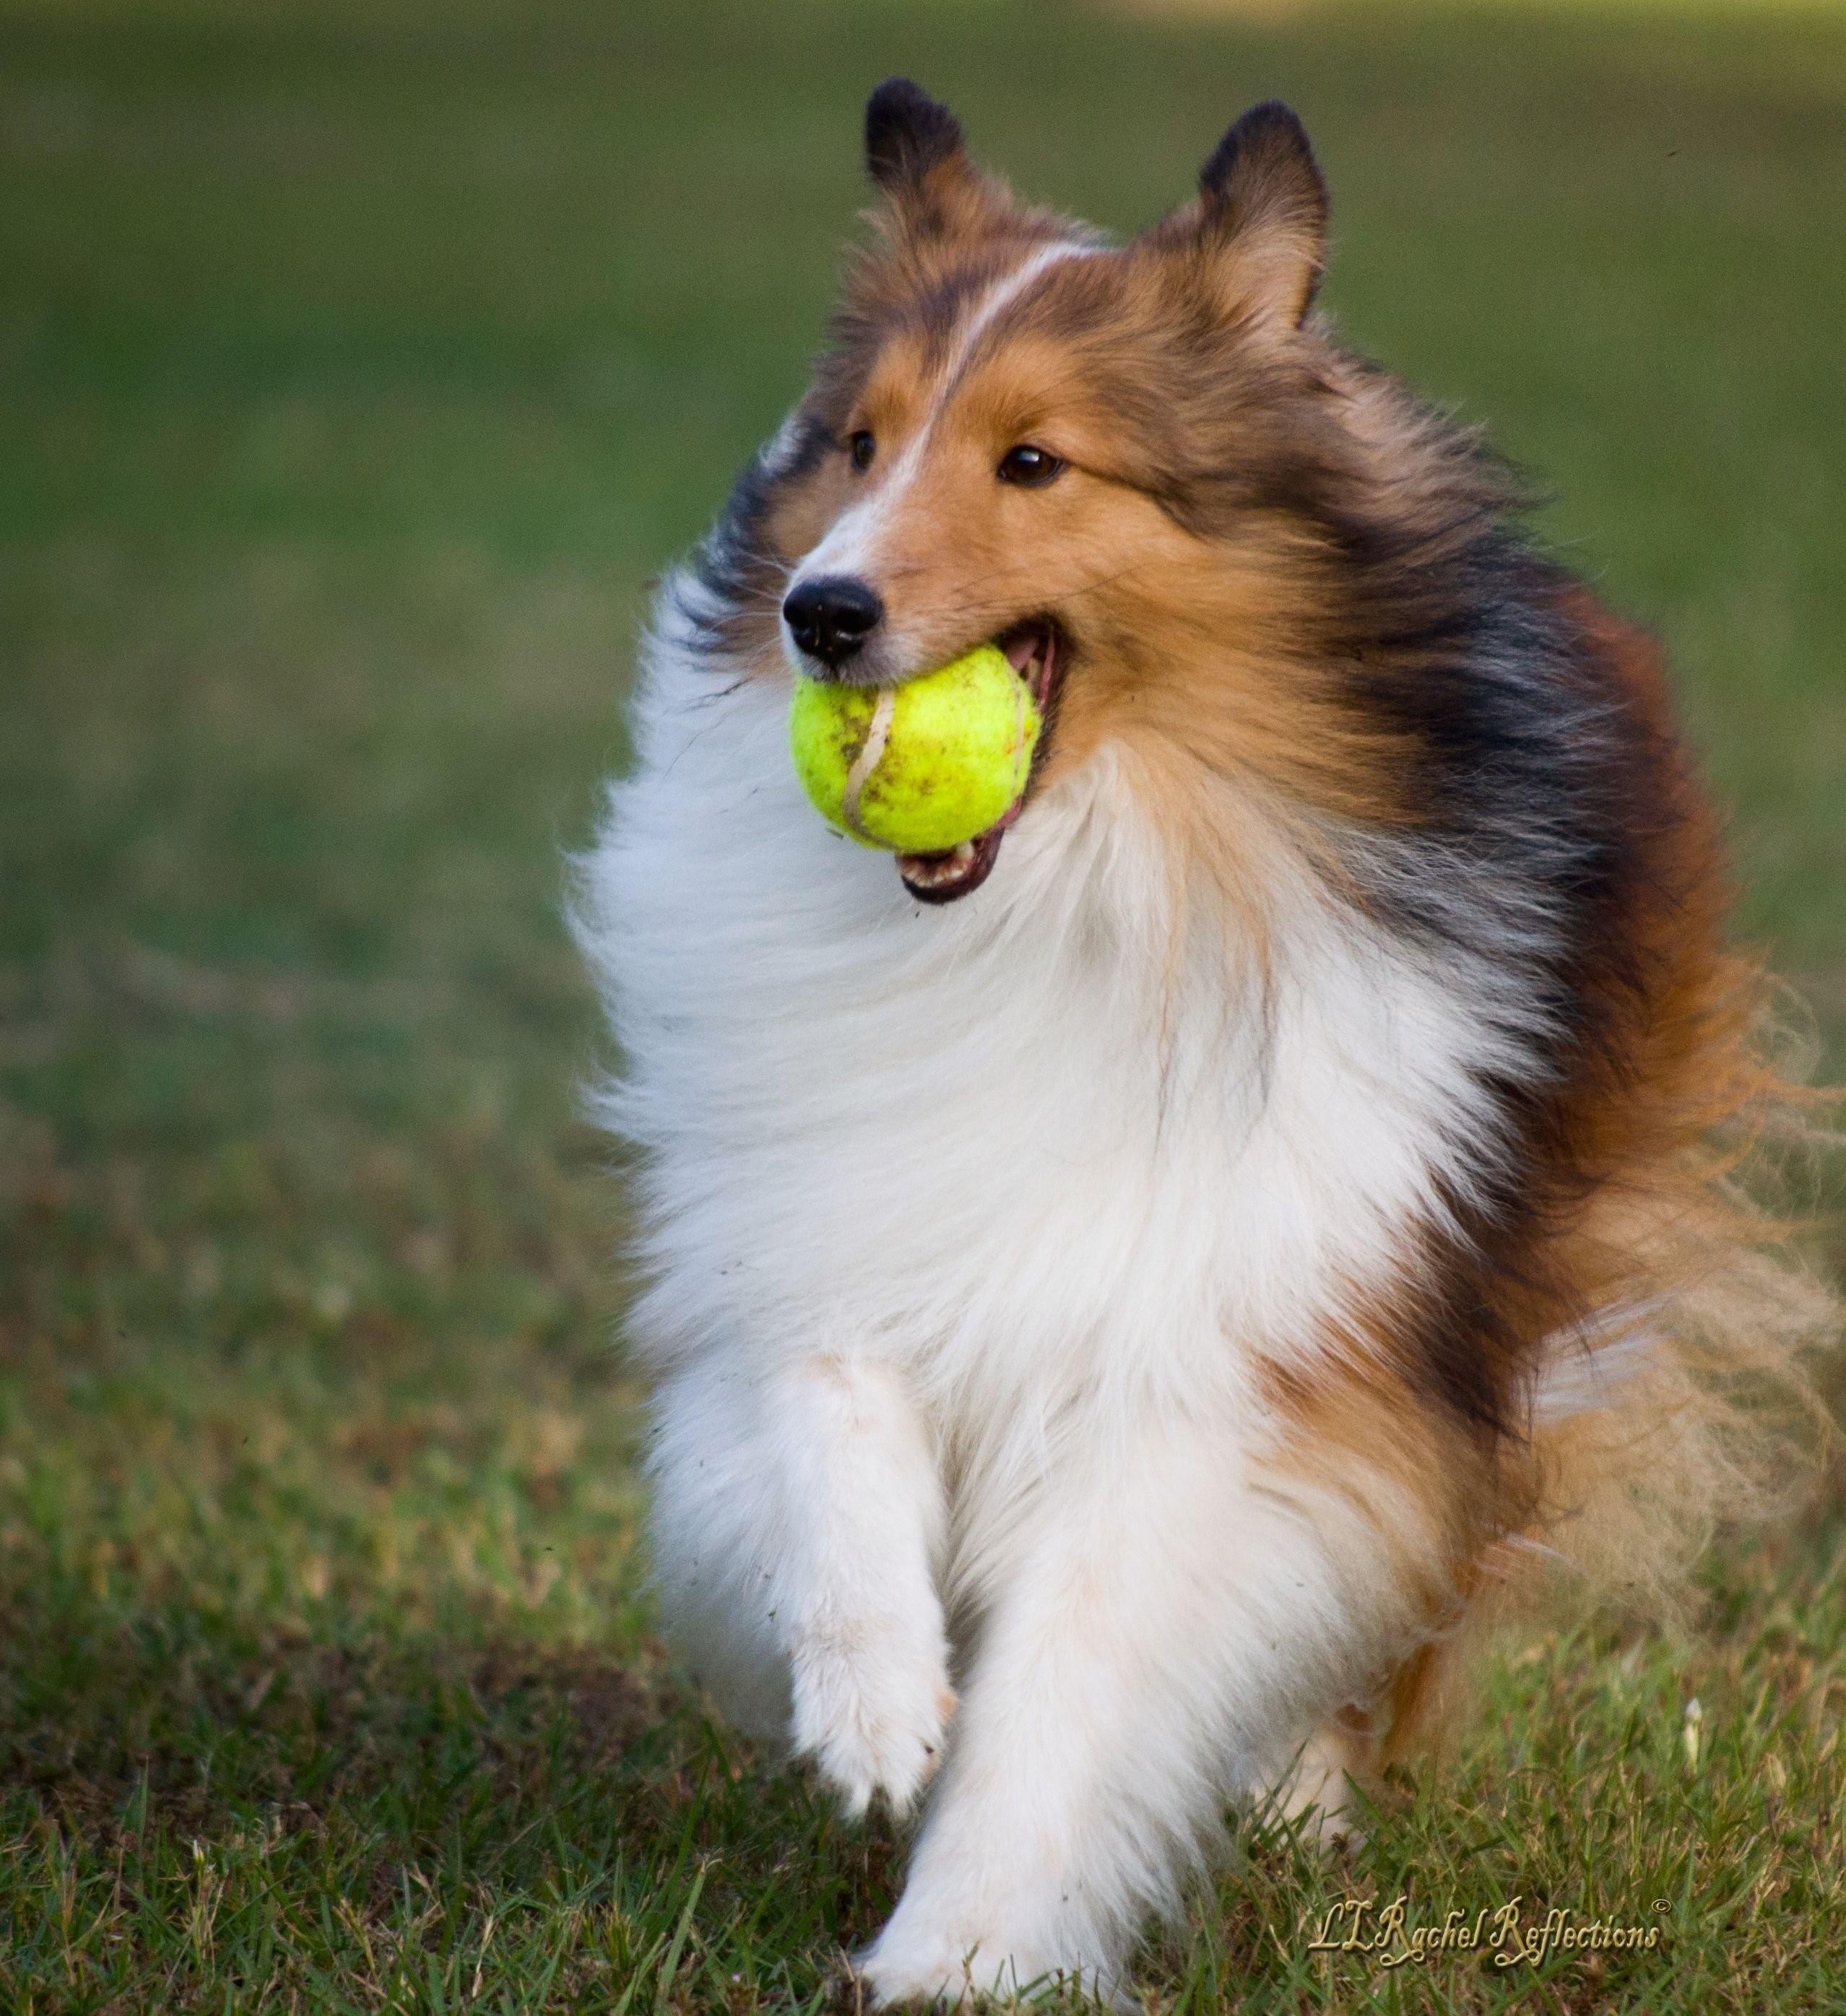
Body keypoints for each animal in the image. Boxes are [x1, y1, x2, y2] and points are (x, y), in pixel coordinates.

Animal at [576, 74, 1829, 1999]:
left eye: (1033, 460)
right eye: (857, 444)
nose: (821, 613)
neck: (1072, 894)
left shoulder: (1222, 1358)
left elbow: (1071, 1702)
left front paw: (959, 1954)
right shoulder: (826, 1215)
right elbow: (824, 1417)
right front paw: (872, 1701)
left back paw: (1300, 1802)